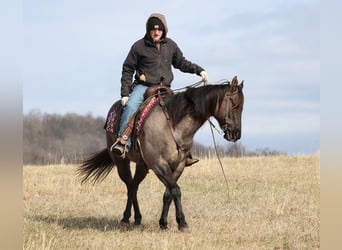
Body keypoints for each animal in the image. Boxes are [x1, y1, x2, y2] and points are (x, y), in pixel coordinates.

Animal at [77, 75, 243, 230]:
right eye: (235, 105)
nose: (236, 134)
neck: (173, 126)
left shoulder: (178, 166)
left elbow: (168, 193)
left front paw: (163, 222)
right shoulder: (159, 164)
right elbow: (176, 190)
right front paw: (182, 222)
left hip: (142, 166)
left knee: (134, 186)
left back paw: (137, 218)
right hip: (121, 162)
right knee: (130, 185)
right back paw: (125, 218)